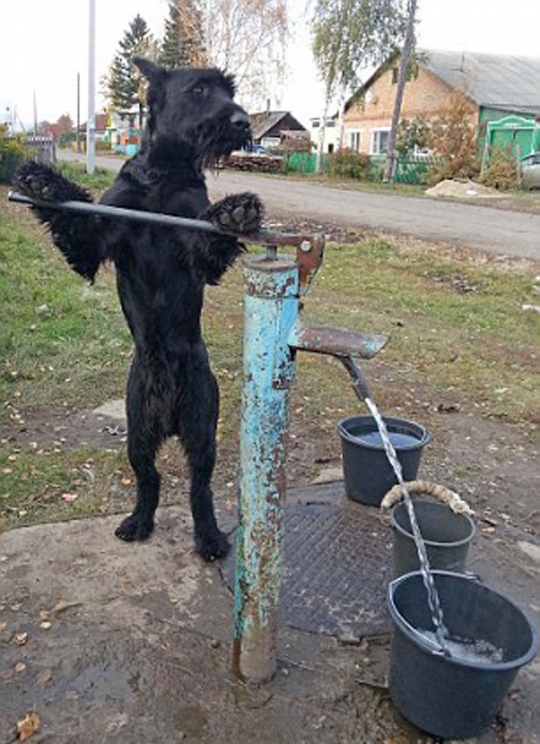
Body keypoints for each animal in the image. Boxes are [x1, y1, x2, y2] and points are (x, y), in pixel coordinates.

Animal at [14, 56, 264, 560]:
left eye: (228, 90)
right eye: (199, 89)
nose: (241, 122)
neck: (163, 174)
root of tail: (166, 418)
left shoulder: (195, 244)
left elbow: (210, 238)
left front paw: (236, 213)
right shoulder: (96, 241)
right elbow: (75, 221)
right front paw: (44, 183)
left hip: (202, 427)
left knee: (198, 487)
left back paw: (209, 537)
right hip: (136, 432)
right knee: (149, 478)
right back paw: (138, 522)